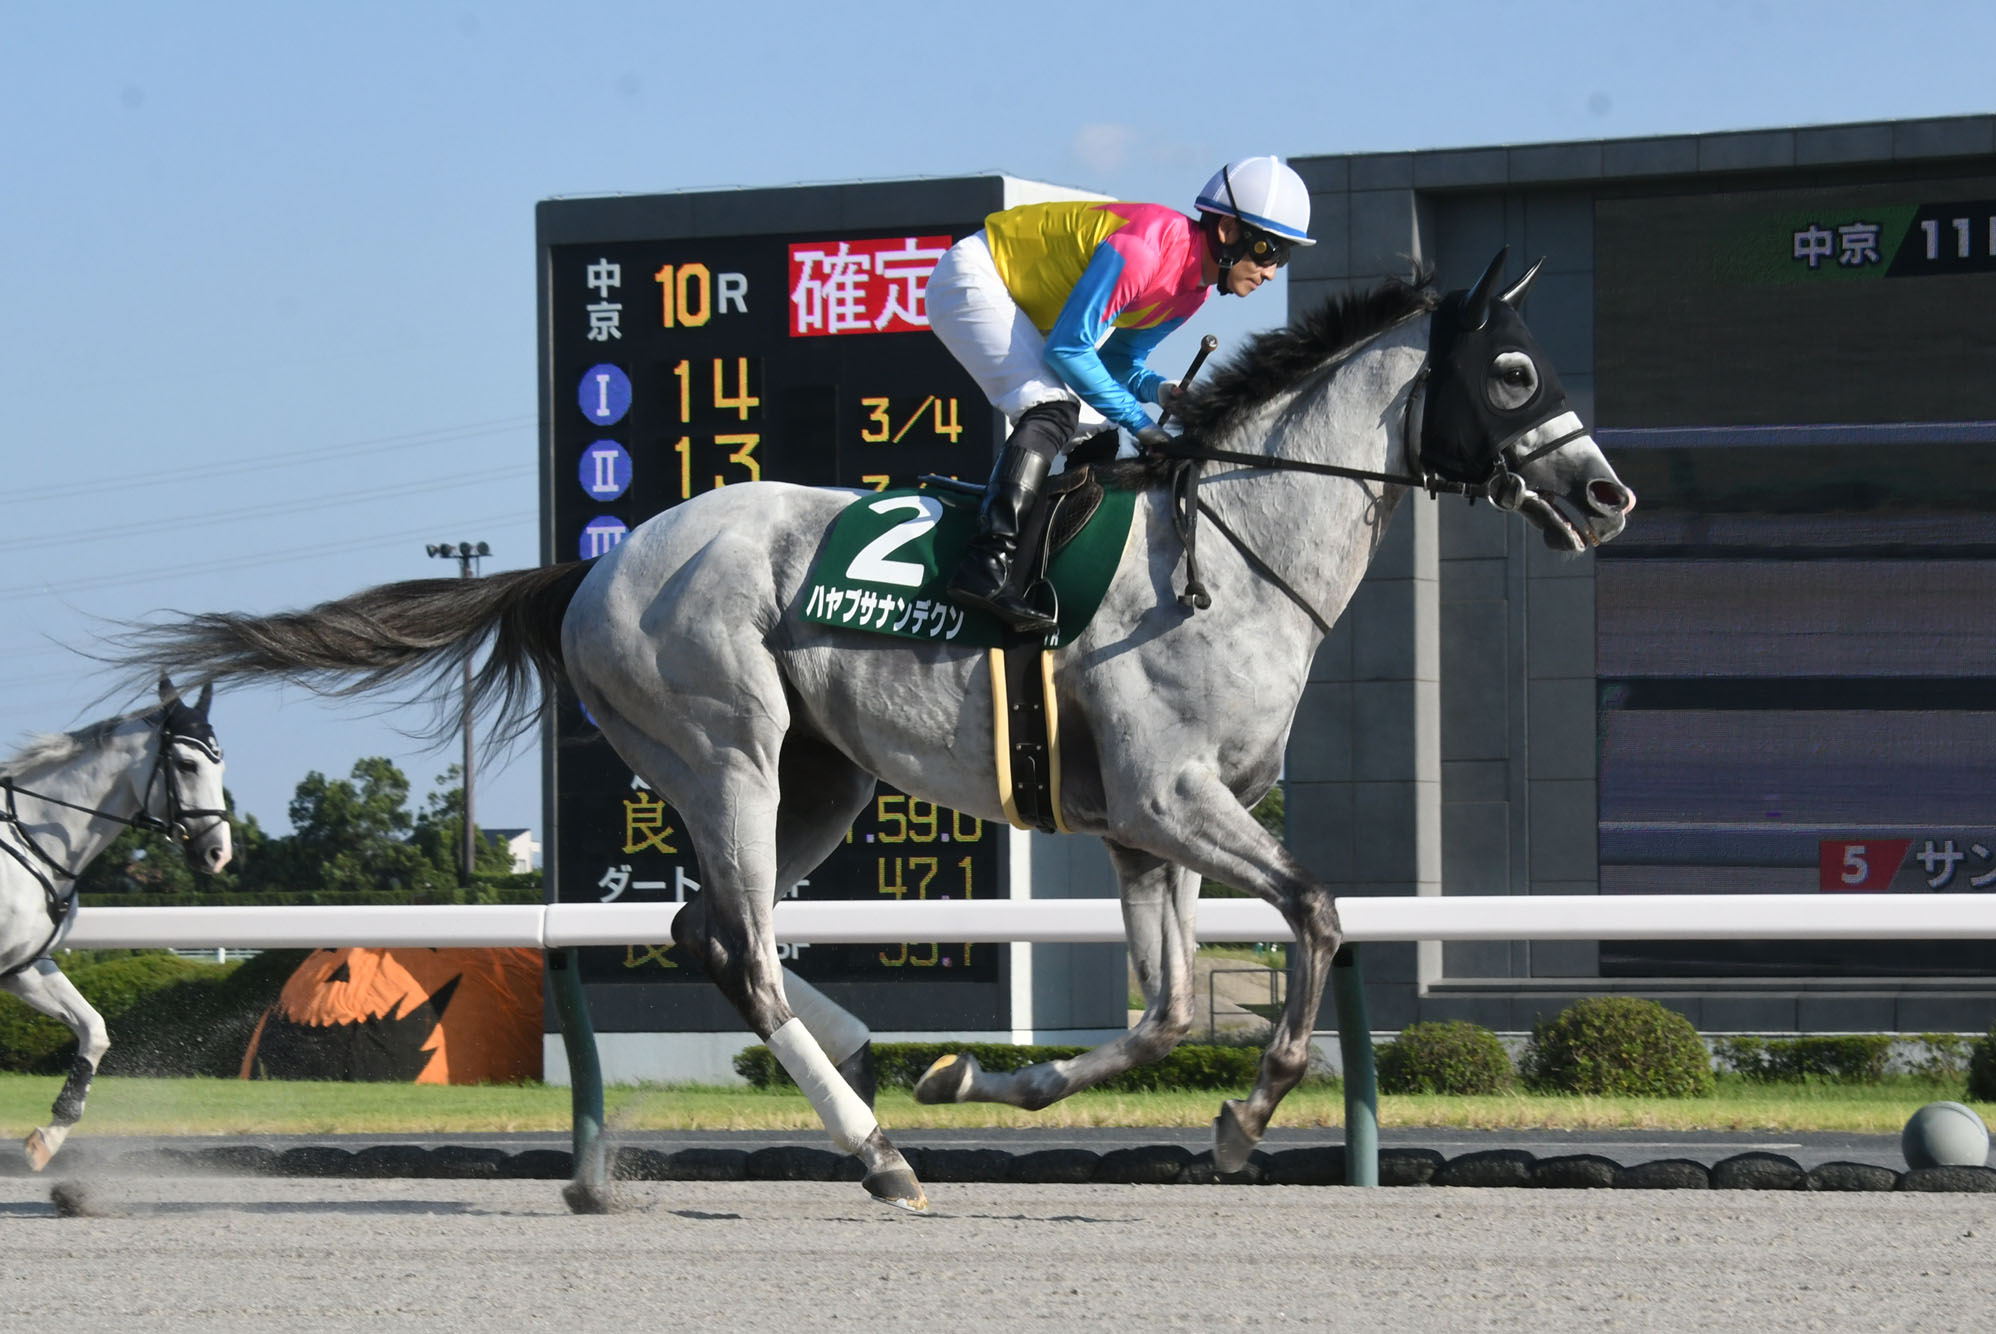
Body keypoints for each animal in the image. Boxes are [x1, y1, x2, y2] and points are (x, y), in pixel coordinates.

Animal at [116, 252, 1628, 1222]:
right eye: (1511, 370)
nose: (1606, 494)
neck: (1235, 552)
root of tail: (593, 567)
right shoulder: (1172, 793)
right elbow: (1314, 911)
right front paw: (1245, 1118)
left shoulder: (1145, 823)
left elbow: (1163, 1011)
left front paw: (994, 1074)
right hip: (727, 747)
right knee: (745, 951)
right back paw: (877, 1146)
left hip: (821, 779)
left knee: (710, 933)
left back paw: (869, 1063)